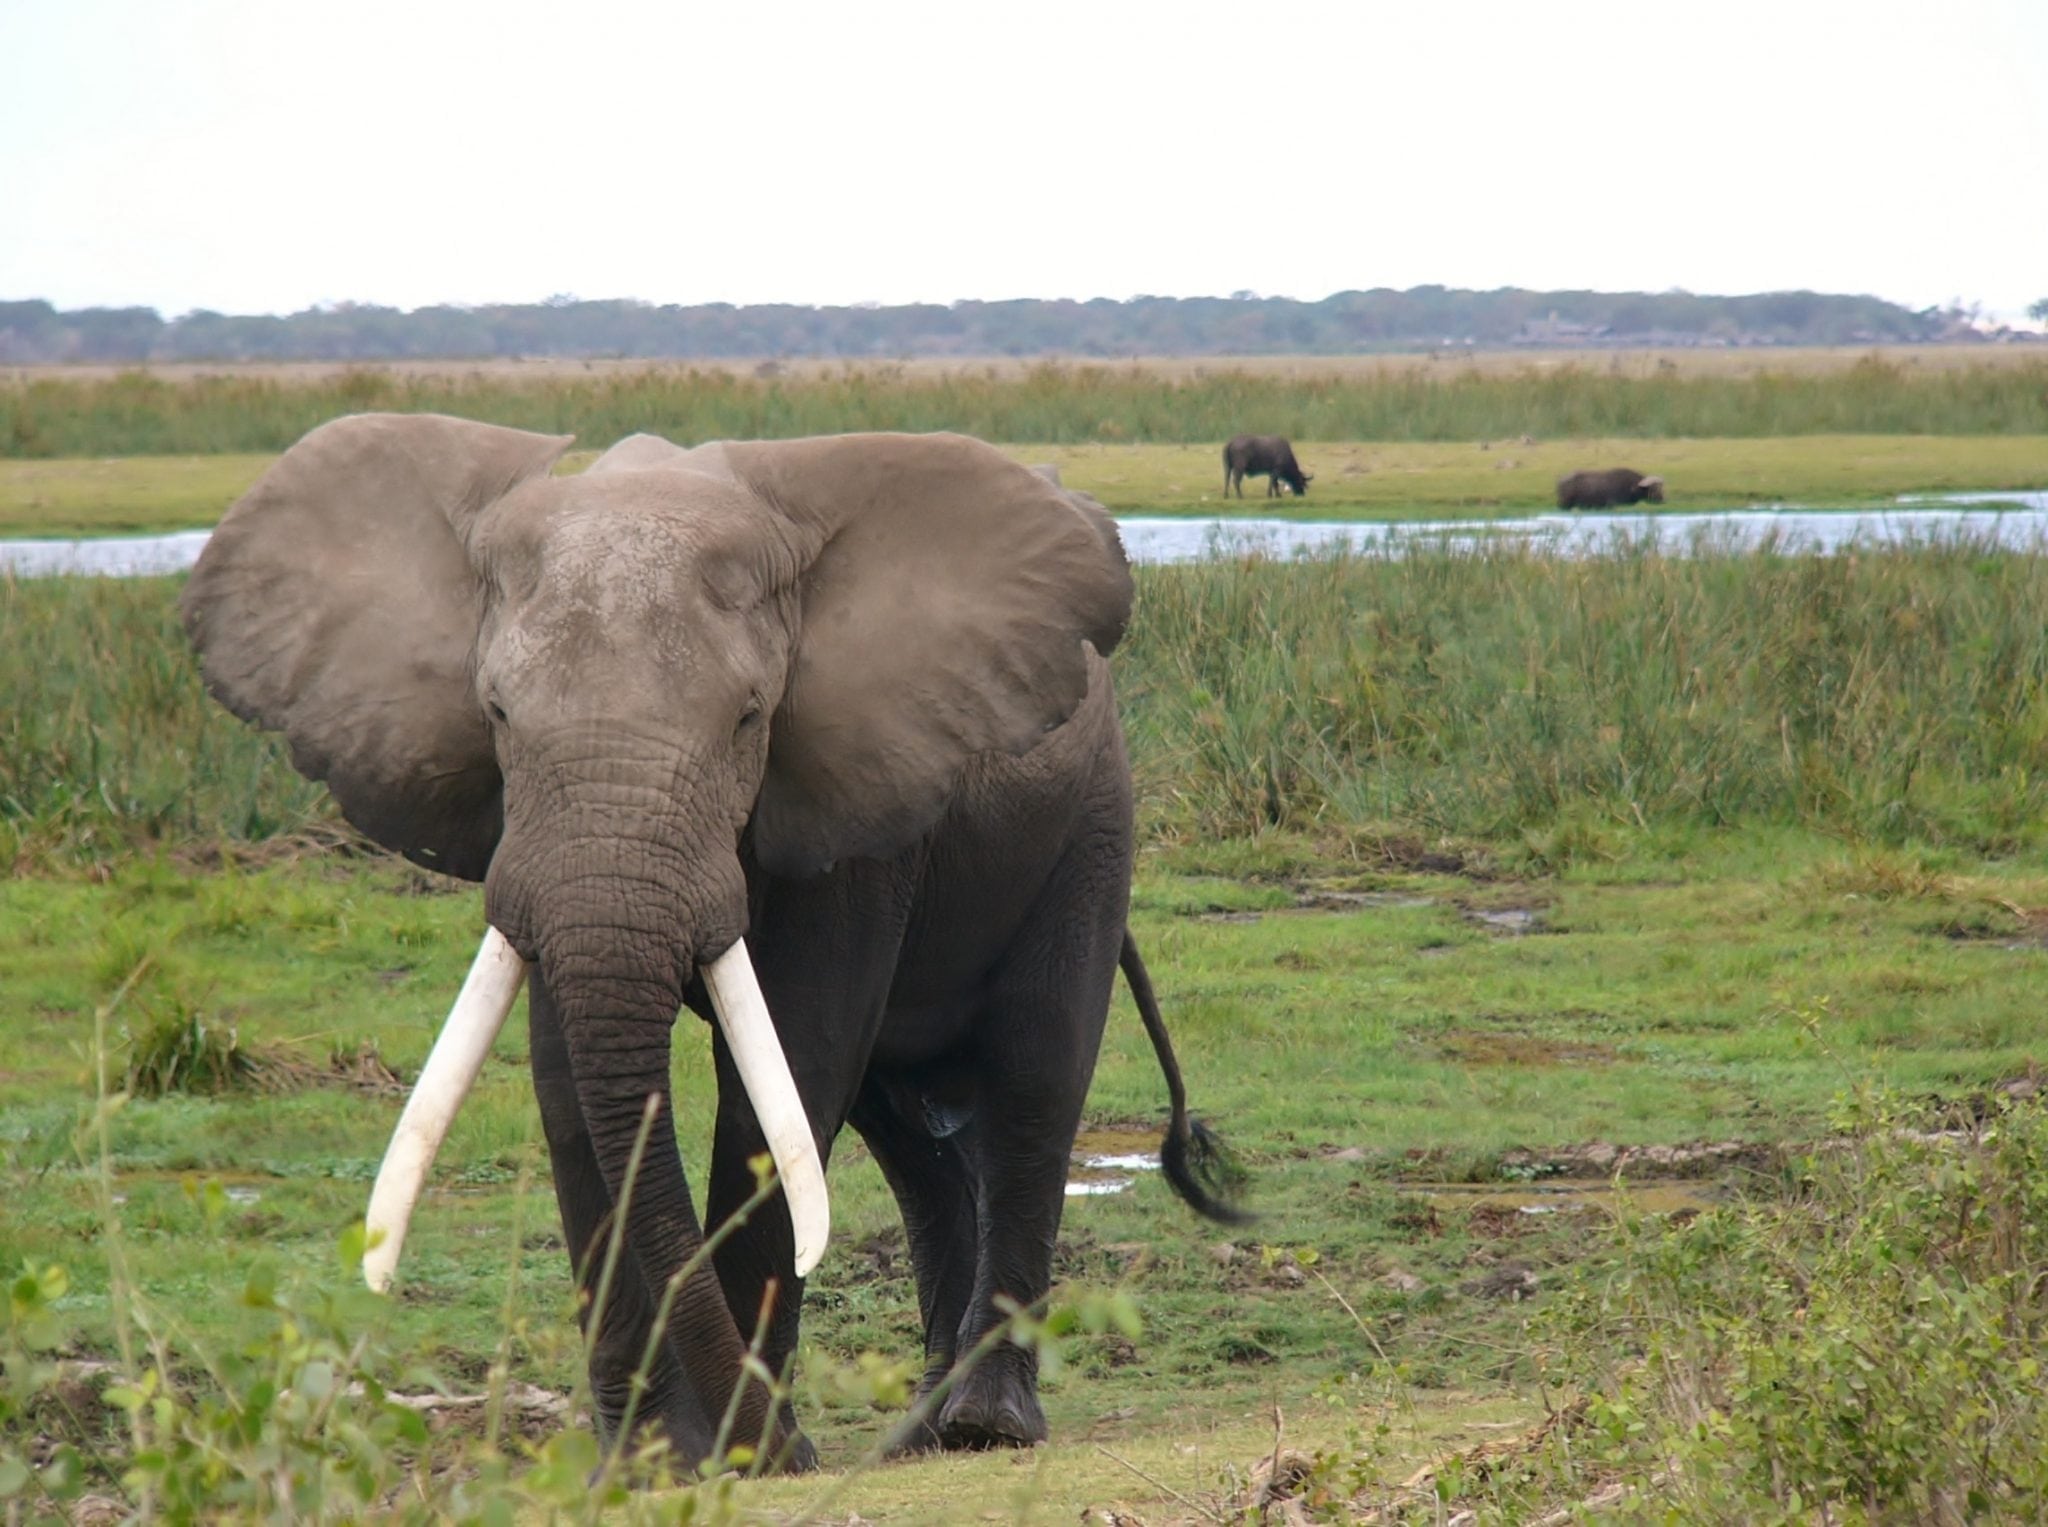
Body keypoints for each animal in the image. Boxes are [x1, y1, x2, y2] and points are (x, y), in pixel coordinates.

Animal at [184, 413, 1236, 1473]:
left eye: (748, 718)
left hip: (1088, 827)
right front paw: (649, 1458)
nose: (785, 1447)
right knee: (905, 1133)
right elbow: (571, 1087)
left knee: (1033, 1078)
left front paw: (746, 1455)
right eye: (497, 714)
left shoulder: (848, 803)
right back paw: (917, 1436)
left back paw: (983, 1425)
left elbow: (789, 1073)